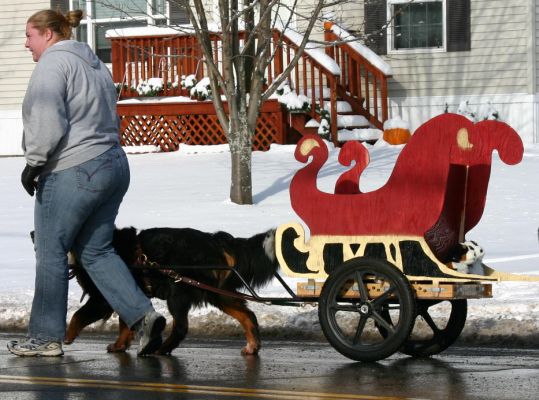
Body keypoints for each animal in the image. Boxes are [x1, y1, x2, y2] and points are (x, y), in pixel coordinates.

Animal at [64, 227, 278, 354]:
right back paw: (252, 347)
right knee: (248, 316)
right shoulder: (124, 293)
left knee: (181, 327)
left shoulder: (101, 299)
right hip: (218, 294)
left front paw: (65, 337)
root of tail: (215, 241)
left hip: (178, 292)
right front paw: (119, 345)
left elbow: (77, 316)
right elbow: (125, 324)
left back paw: (161, 349)